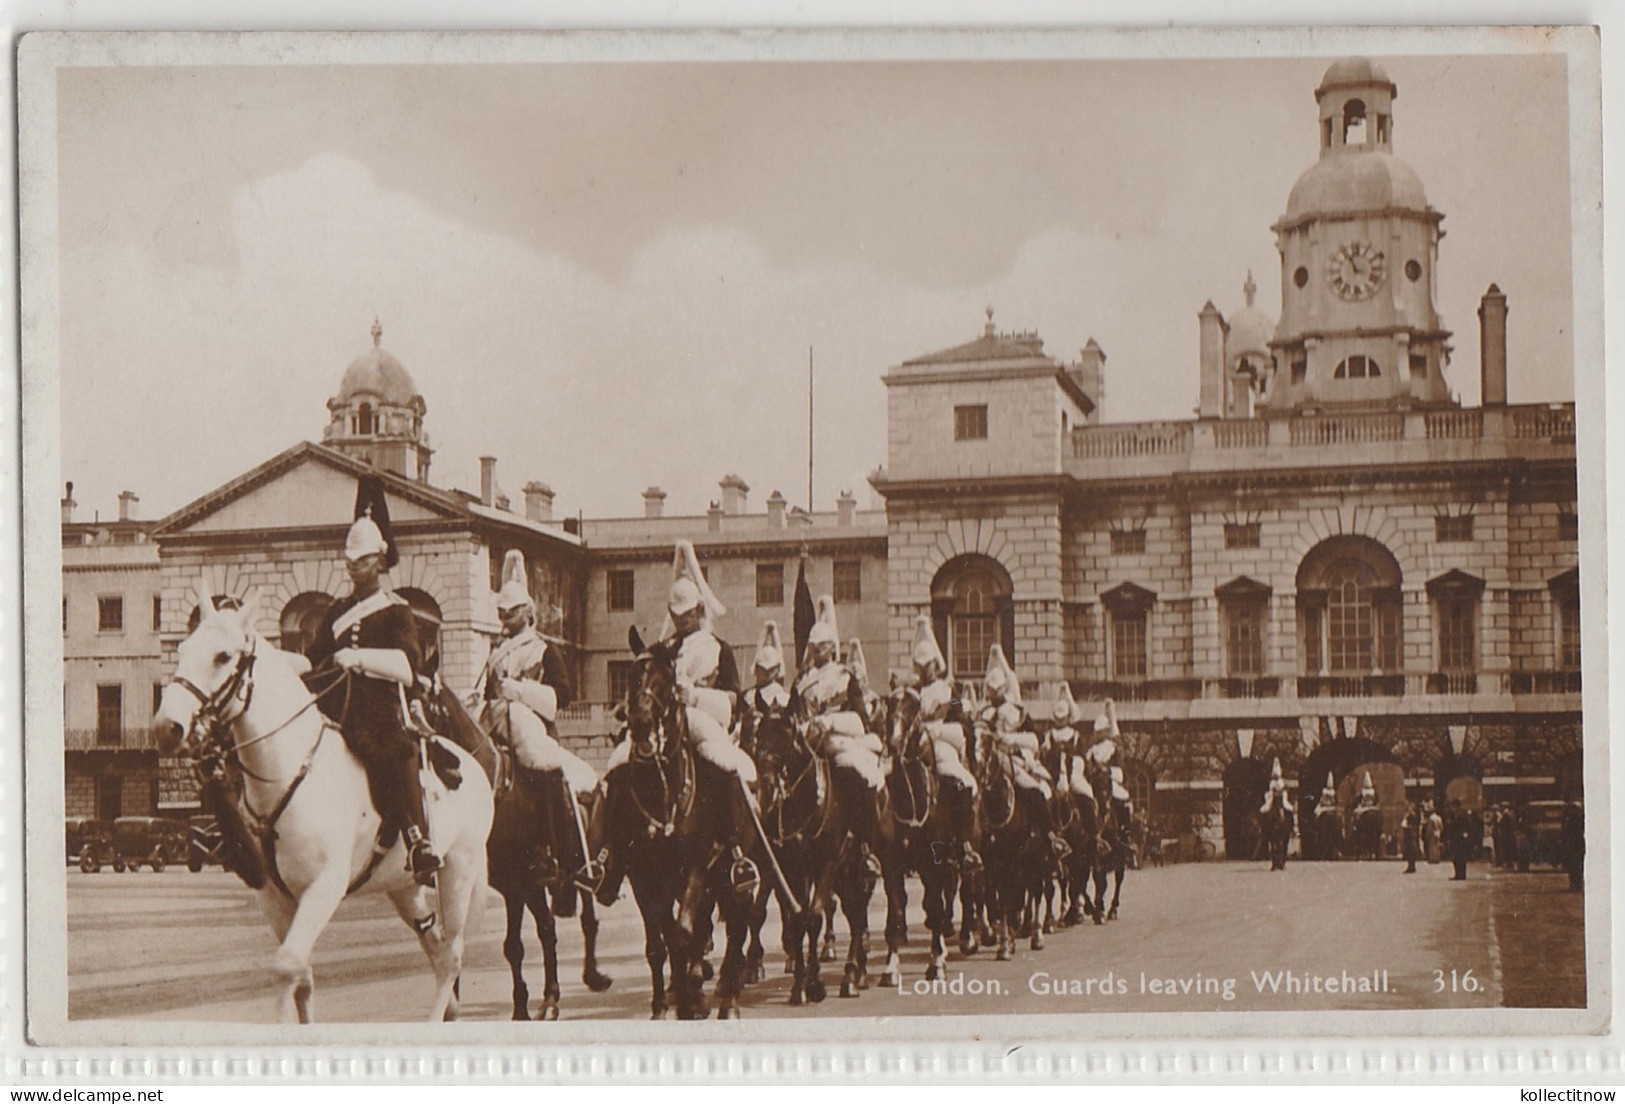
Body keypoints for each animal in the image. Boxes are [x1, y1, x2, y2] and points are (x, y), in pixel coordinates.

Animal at [155, 588, 490, 1027]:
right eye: (182, 649)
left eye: (223, 656)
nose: (166, 728)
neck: (289, 772)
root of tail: (472, 763)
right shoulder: (273, 896)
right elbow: (302, 974)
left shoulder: (324, 887)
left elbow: (287, 965)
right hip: (402, 885)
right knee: (434, 948)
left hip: (458, 872)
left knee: (451, 954)